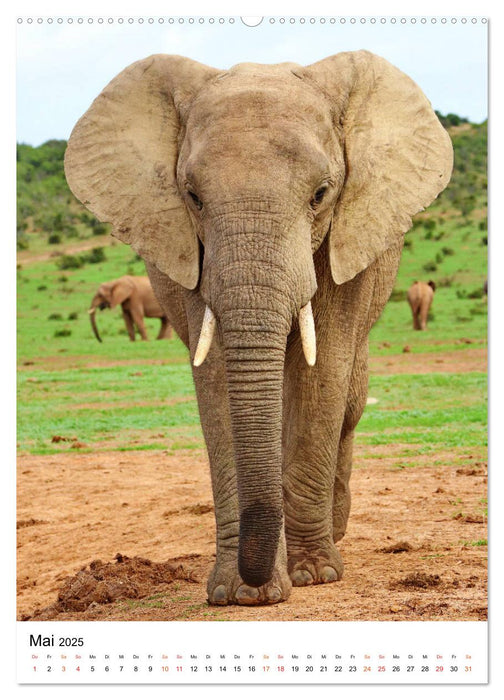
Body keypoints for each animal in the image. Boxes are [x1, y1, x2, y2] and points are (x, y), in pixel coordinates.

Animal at [64, 50, 452, 608]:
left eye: (321, 194)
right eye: (192, 197)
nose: (258, 577)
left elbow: (322, 375)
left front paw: (313, 575)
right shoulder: (192, 256)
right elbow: (217, 380)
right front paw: (240, 591)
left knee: (350, 403)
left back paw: (334, 533)